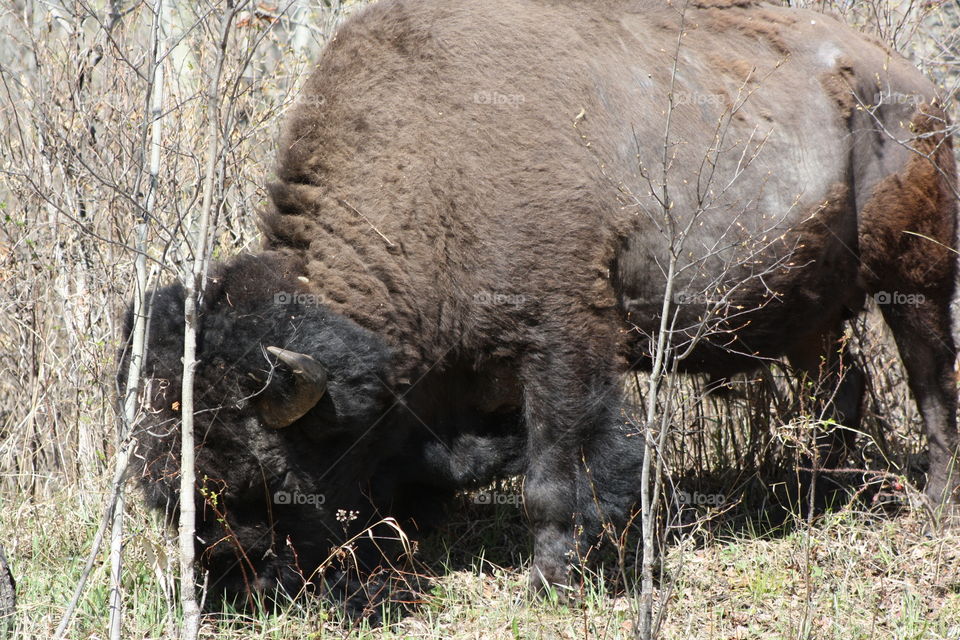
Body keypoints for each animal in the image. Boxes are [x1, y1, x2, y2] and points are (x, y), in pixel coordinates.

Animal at [123, 0, 959, 614]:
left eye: (258, 481)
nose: (232, 590)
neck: (433, 172)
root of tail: (911, 83)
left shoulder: (562, 340)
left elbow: (556, 474)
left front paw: (552, 582)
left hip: (916, 278)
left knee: (930, 383)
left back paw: (933, 502)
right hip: (812, 314)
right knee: (842, 387)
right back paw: (817, 493)